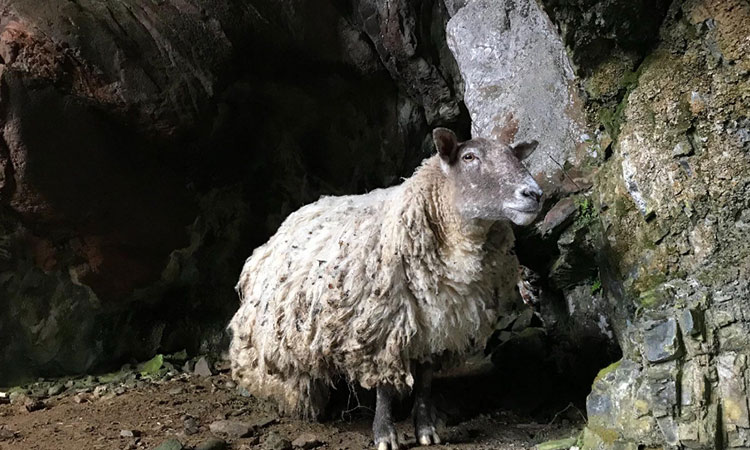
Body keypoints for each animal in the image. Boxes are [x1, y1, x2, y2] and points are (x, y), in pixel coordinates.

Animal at [226, 121, 544, 448]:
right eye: (469, 157)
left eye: (514, 155)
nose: (534, 193)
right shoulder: (382, 326)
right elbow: (385, 389)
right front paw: (385, 434)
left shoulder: (437, 327)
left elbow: (425, 382)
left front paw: (426, 430)